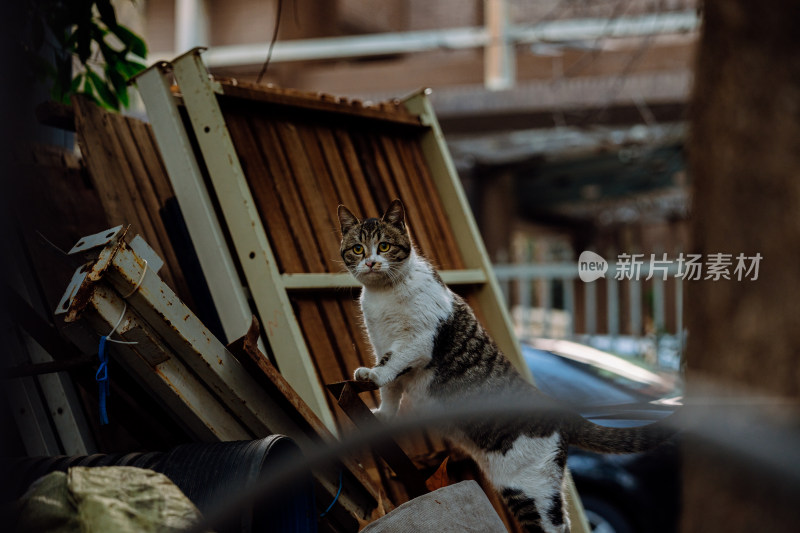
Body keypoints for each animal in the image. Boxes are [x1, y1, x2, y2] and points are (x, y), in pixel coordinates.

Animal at [338, 200, 676, 532]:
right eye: (357, 249)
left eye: (383, 246)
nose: (370, 263)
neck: (383, 296)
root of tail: (558, 411)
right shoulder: (381, 341)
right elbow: (391, 390)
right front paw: (382, 415)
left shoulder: (417, 340)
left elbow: (391, 364)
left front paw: (373, 374)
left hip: (528, 486)